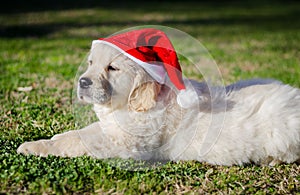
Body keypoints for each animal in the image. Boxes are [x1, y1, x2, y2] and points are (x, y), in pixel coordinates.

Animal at [17, 31, 300, 165]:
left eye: (112, 68)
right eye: (90, 63)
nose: (83, 82)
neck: (132, 105)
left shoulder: (126, 143)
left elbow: (79, 141)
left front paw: (35, 147)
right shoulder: (112, 128)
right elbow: (80, 132)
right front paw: (52, 138)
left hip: (282, 132)